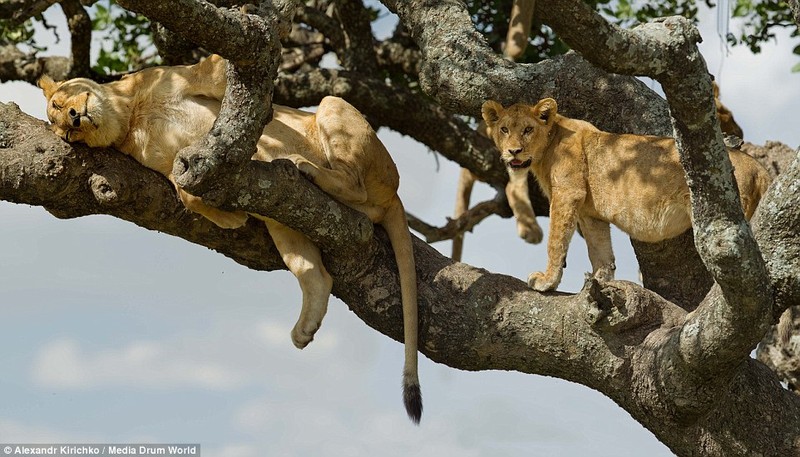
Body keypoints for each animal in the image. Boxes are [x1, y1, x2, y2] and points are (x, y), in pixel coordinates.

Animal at [39, 55, 424, 422]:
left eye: (59, 103)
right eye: (65, 133)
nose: (73, 120)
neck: (130, 115)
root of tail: (394, 196)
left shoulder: (191, 76)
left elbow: (230, 79)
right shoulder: (171, 167)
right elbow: (186, 194)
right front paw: (232, 217)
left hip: (333, 107)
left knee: (353, 183)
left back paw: (304, 165)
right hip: (283, 215)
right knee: (316, 273)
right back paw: (304, 327)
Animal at [478, 99, 772, 292]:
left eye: (528, 129)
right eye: (504, 129)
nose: (514, 151)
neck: (547, 147)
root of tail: (759, 167)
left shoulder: (567, 194)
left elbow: (556, 241)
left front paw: (547, 281)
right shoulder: (589, 213)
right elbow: (600, 252)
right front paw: (599, 284)